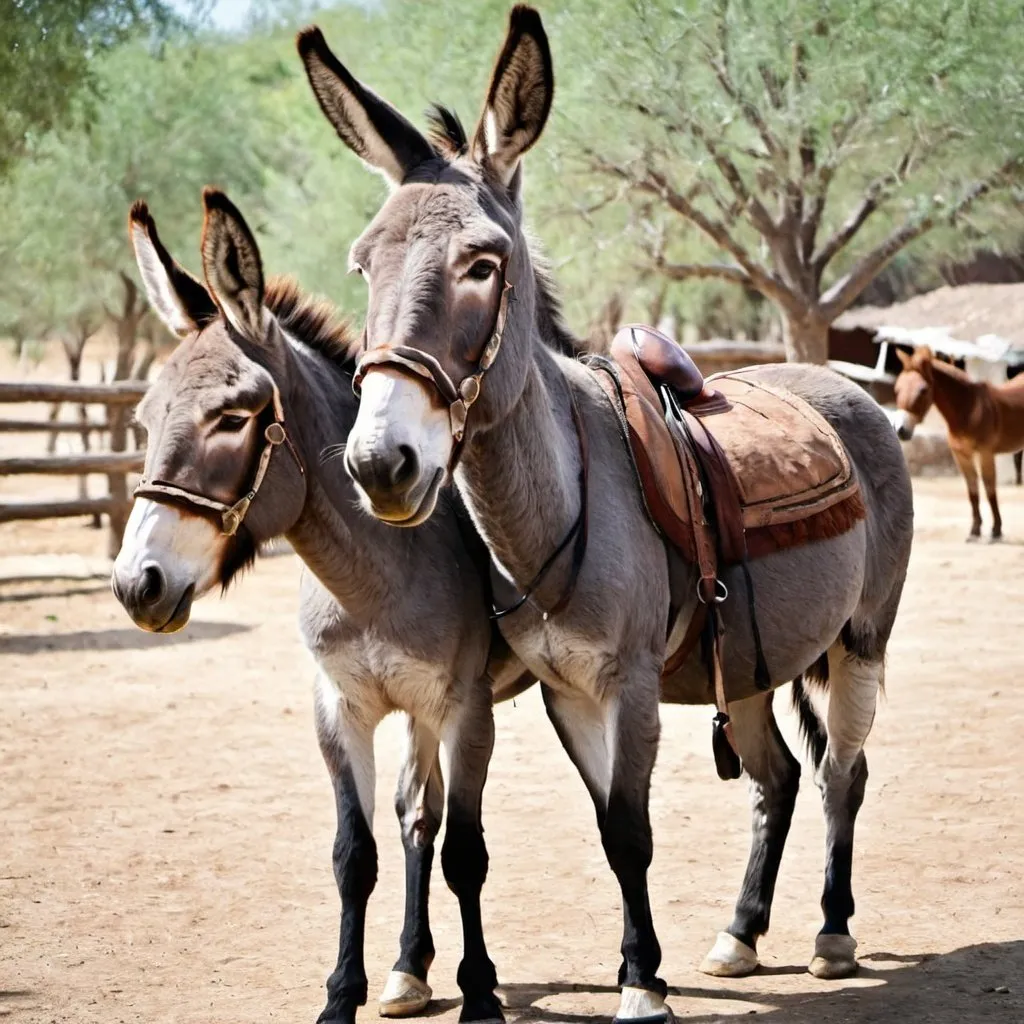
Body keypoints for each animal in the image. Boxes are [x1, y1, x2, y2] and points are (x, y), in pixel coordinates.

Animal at [892, 346, 1024, 540]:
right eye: (897, 388)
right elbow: (972, 491)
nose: (901, 430)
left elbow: (989, 489)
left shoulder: (985, 454)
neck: (968, 411)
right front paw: (975, 530)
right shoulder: (961, 456)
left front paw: (996, 530)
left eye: (923, 390)